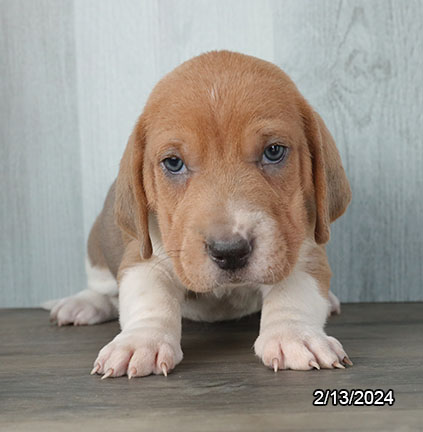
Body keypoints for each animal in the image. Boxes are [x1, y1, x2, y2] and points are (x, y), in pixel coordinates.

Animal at [45, 51, 352, 378]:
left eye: (274, 151)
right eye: (173, 163)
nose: (230, 251)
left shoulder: (304, 251)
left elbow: (293, 293)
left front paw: (293, 335)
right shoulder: (143, 258)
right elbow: (149, 299)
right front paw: (141, 342)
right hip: (97, 251)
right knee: (103, 290)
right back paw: (81, 304)